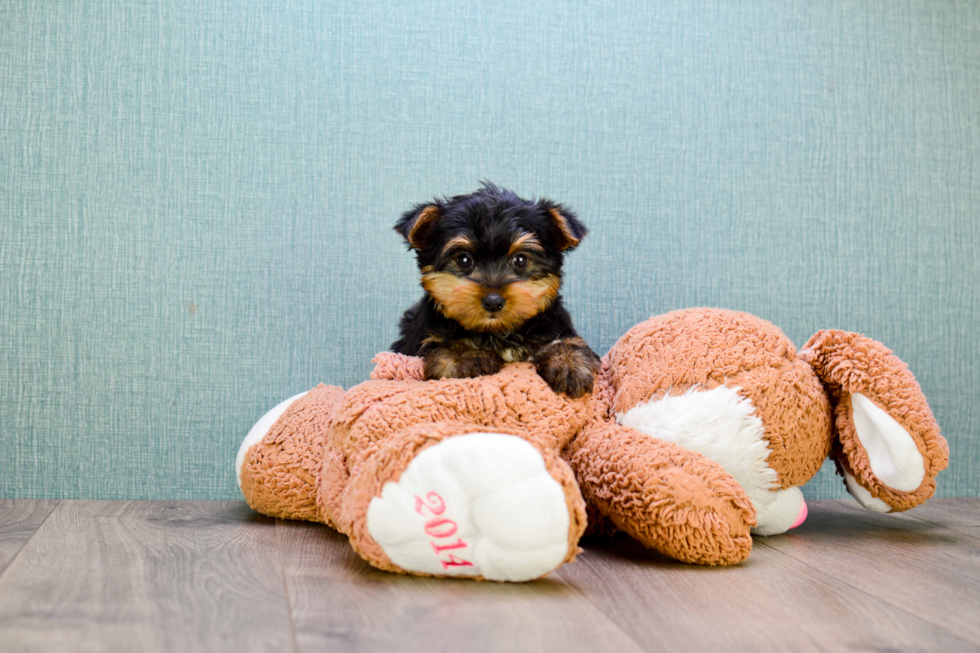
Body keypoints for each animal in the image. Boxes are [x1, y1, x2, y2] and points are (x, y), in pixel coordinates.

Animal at [392, 182, 604, 398]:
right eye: (464, 260)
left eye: (520, 260)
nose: (493, 301)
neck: (497, 332)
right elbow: (443, 349)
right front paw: (469, 356)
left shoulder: (554, 326)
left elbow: (569, 342)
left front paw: (568, 364)